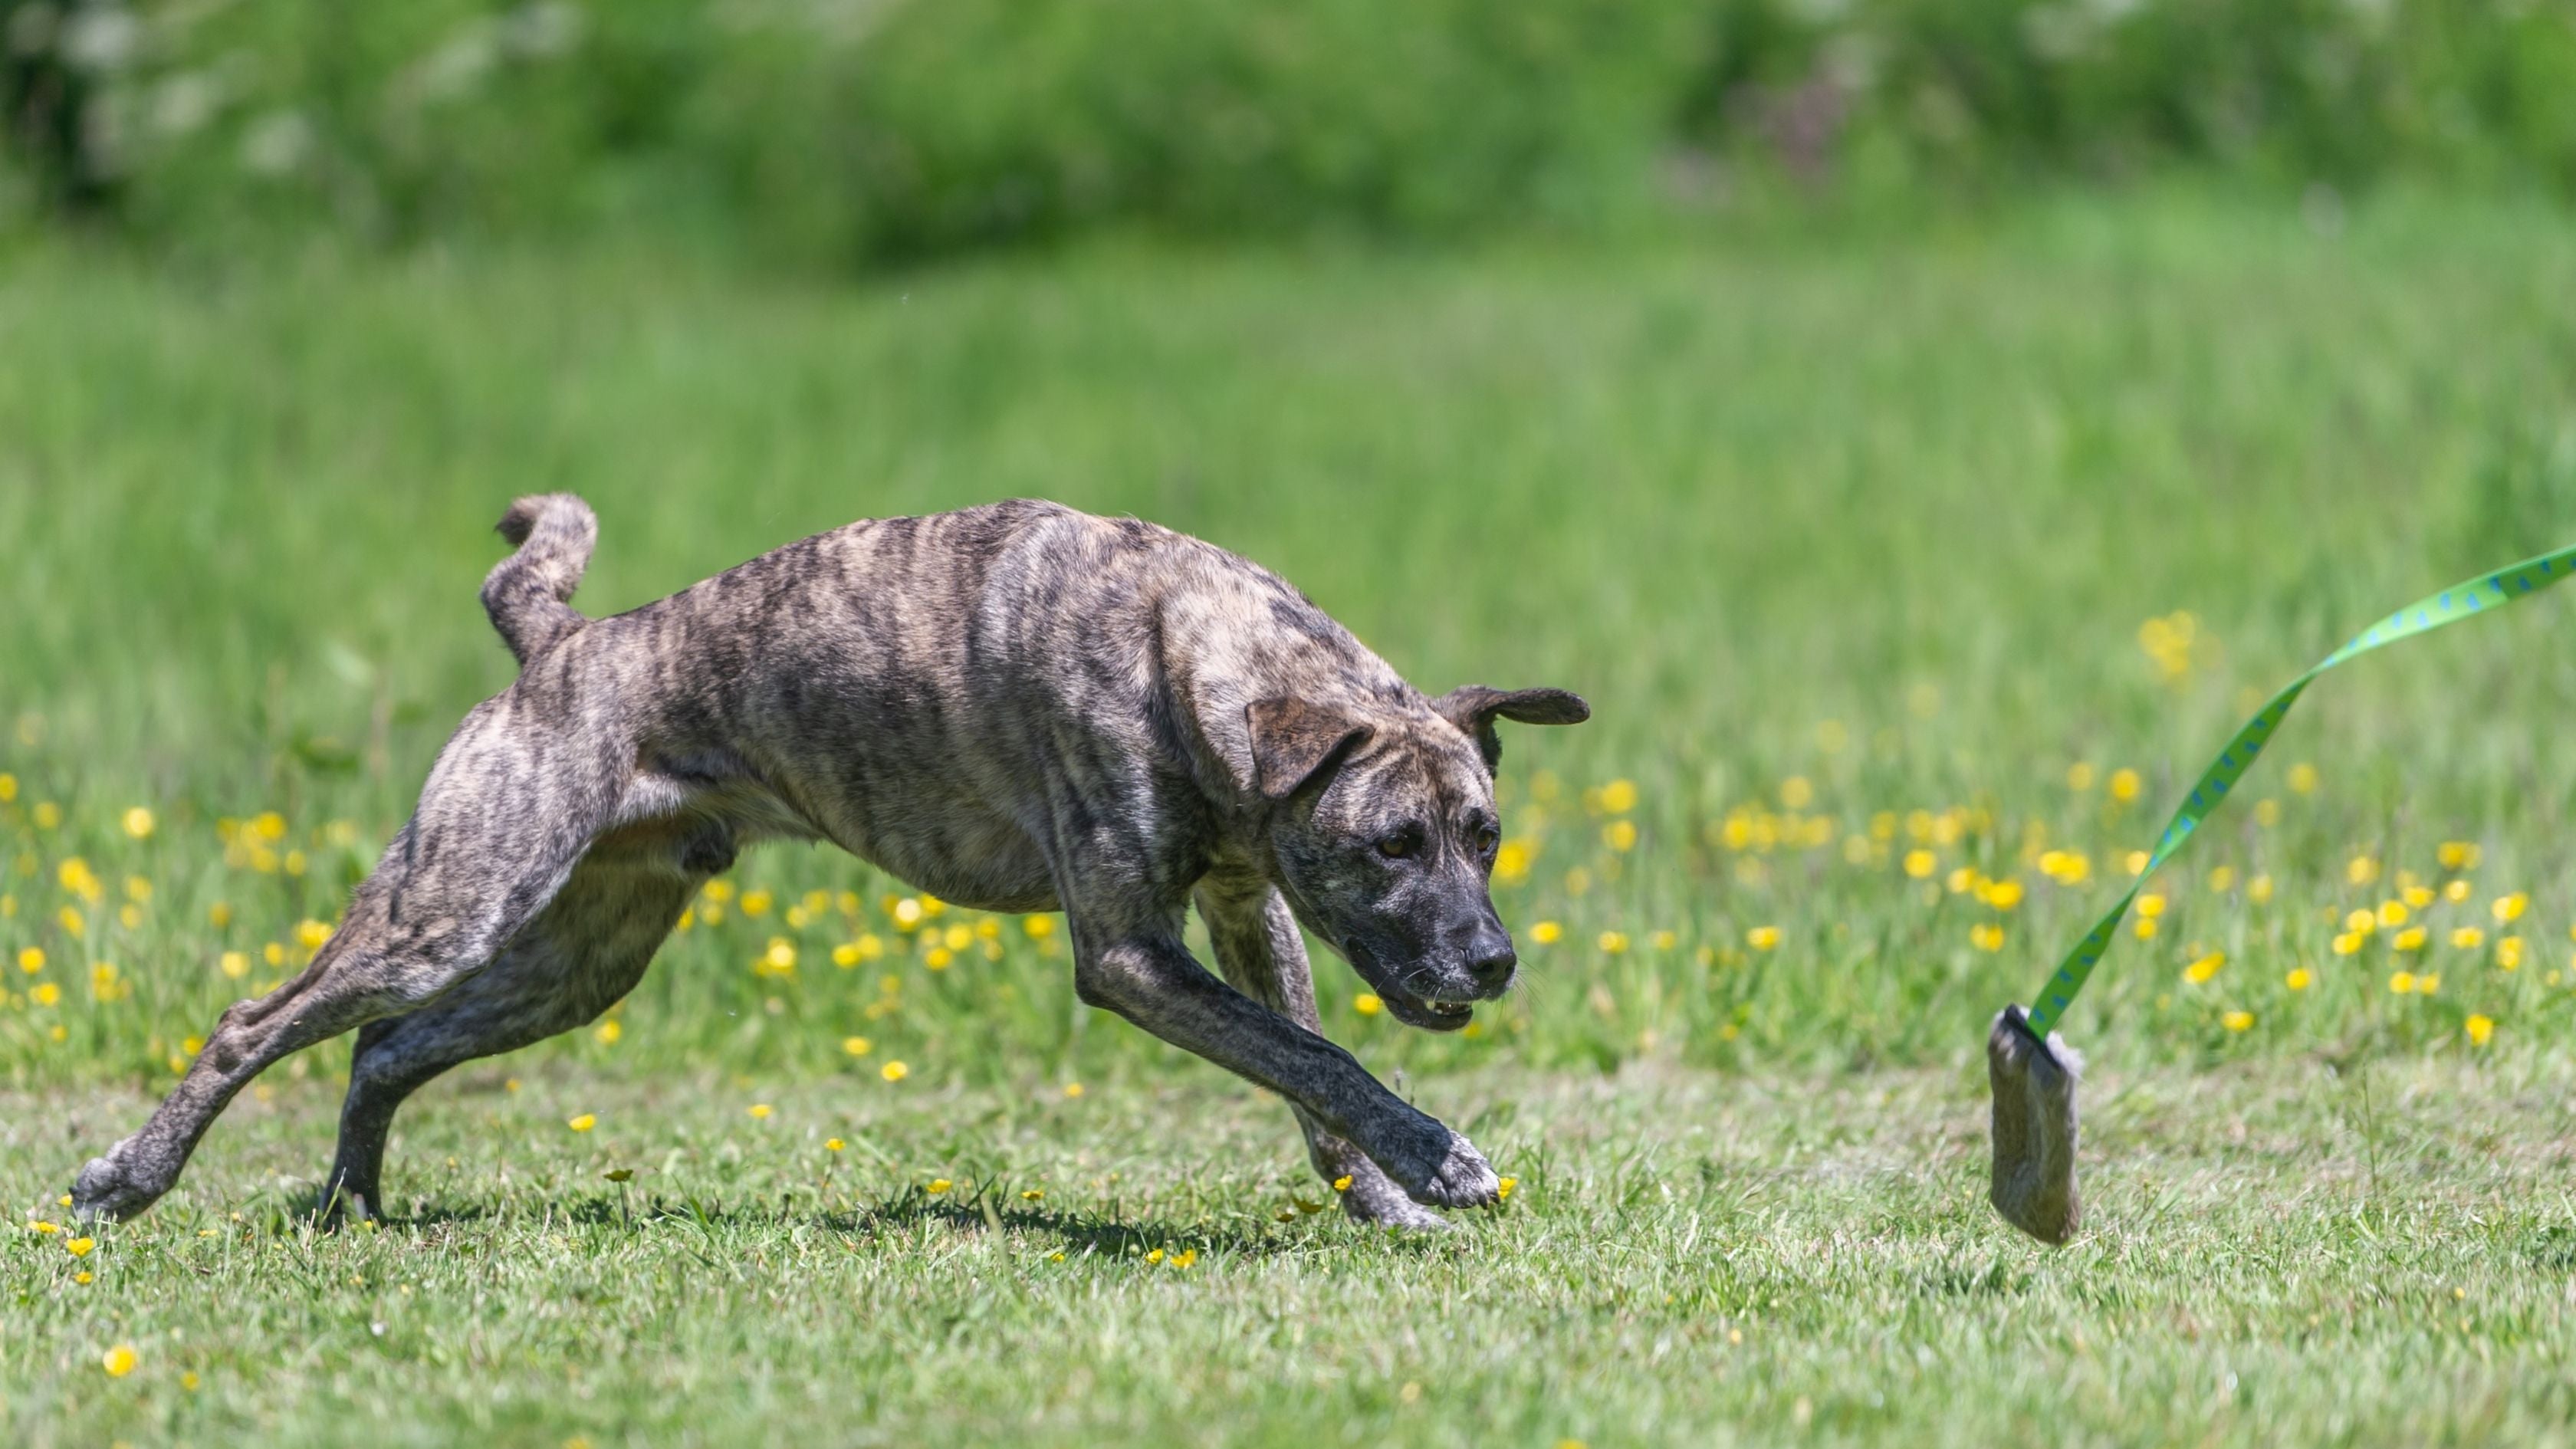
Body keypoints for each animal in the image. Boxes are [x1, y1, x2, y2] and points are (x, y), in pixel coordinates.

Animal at [65, 492, 1586, 1217]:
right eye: (1392, 842)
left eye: (1486, 836)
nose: (1494, 961)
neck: (1191, 651)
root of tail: (564, 643)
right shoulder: (1130, 955)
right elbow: (1318, 1060)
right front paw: (1443, 1161)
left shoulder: (1241, 907)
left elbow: (1314, 1073)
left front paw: (1386, 1201)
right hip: (457, 903)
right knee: (257, 1020)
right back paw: (128, 1182)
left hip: (578, 961)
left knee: (385, 1050)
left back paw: (354, 1207)